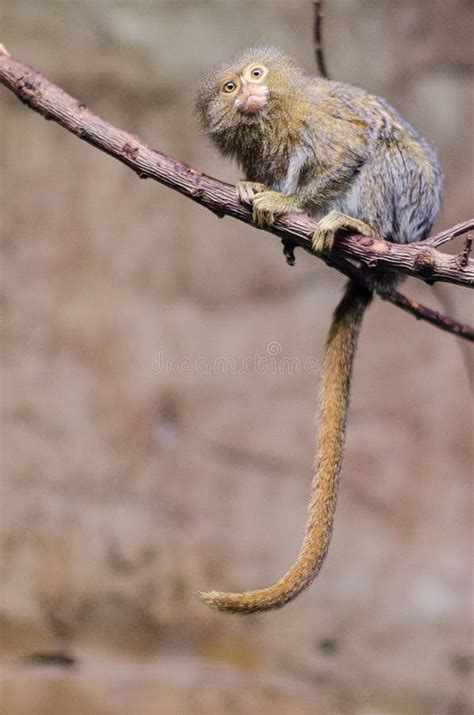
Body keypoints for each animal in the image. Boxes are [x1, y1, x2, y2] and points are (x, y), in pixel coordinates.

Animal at [194, 47, 442, 612]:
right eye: (229, 87)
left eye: (257, 75)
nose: (249, 91)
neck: (273, 117)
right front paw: (254, 188)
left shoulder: (321, 123)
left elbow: (345, 155)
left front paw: (286, 205)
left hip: (405, 207)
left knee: (379, 156)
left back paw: (359, 227)